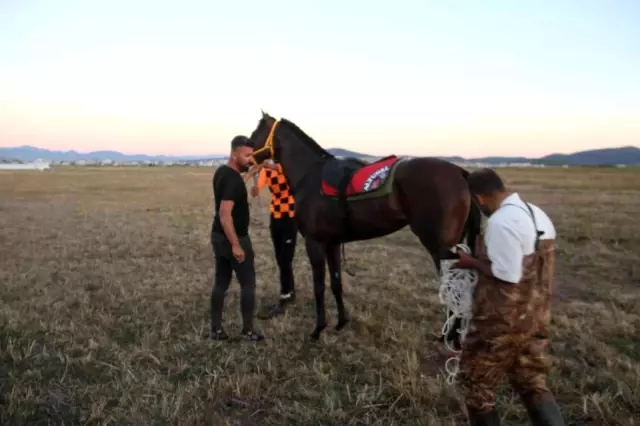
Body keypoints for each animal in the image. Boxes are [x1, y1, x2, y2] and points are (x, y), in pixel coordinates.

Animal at [248, 111, 478, 342]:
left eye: (257, 131)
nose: (246, 158)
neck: (310, 176)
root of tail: (460, 172)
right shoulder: (332, 244)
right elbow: (336, 283)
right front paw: (340, 322)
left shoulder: (315, 243)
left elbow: (319, 286)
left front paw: (318, 329)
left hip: (440, 249)